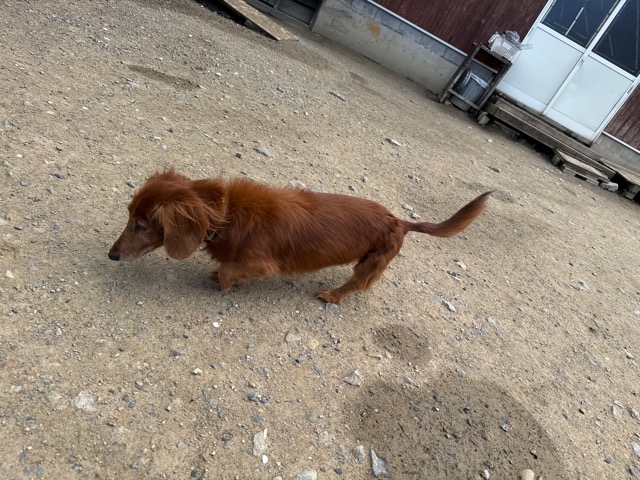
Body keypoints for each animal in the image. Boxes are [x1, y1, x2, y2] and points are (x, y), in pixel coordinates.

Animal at [108, 169, 491, 303]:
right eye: (129, 215)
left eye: (141, 225)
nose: (111, 255)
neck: (227, 212)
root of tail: (398, 220)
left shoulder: (262, 263)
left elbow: (232, 271)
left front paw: (223, 282)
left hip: (370, 262)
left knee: (357, 284)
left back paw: (332, 295)